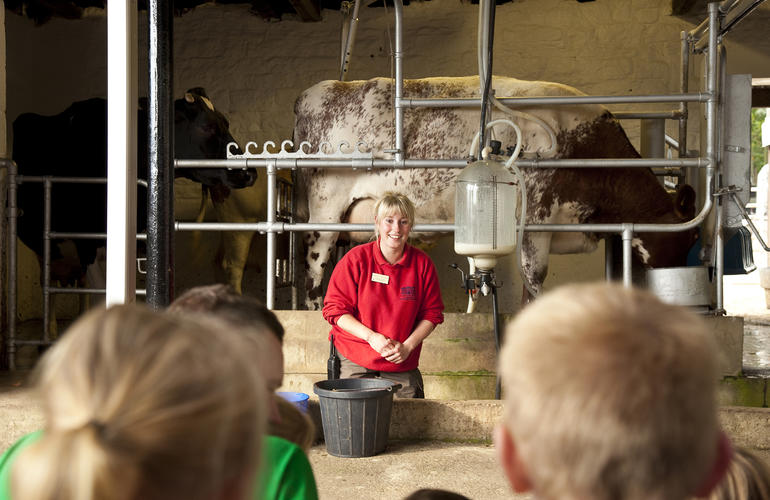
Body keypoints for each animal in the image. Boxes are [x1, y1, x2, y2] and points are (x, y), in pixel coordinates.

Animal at [292, 75, 696, 308]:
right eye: (690, 237)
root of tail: (318, 91)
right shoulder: (537, 216)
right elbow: (534, 278)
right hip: (326, 206)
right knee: (314, 270)